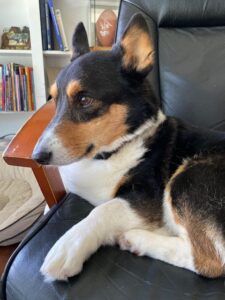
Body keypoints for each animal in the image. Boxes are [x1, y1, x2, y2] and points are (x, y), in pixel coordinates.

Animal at [32, 14, 225, 282]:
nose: (37, 157)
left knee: (209, 260)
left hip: (188, 178)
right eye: (54, 99)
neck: (111, 152)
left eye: (84, 99)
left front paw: (68, 246)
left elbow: (104, 210)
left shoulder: (146, 197)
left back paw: (137, 238)